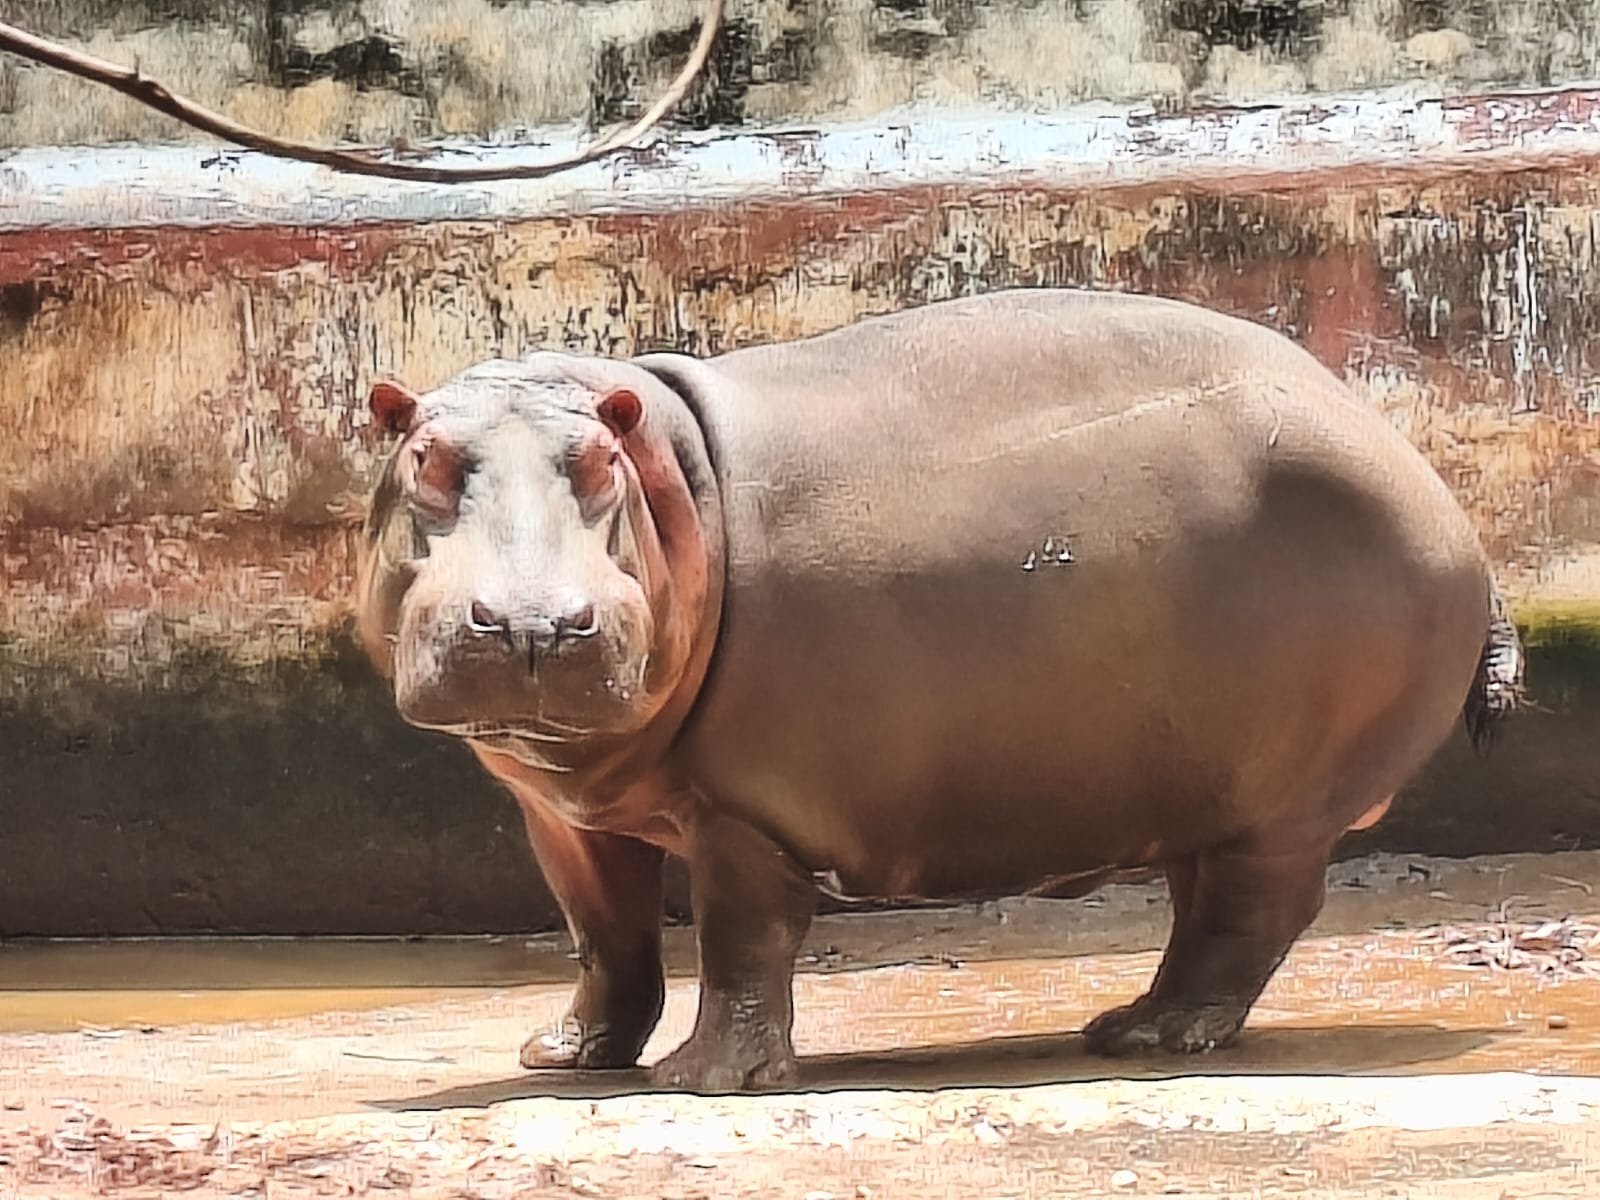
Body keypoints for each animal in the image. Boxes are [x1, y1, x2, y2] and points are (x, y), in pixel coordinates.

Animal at [355, 288, 1523, 1092]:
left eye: (602, 462)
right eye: (422, 457)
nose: (533, 624)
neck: (673, 487)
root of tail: (1424, 475)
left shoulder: (743, 812)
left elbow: (740, 942)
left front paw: (704, 1080)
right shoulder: (563, 814)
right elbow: (606, 937)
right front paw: (564, 1054)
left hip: (1284, 809)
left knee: (1255, 913)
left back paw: (1147, 1035)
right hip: (1209, 790)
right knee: (1212, 905)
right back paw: (1127, 1025)